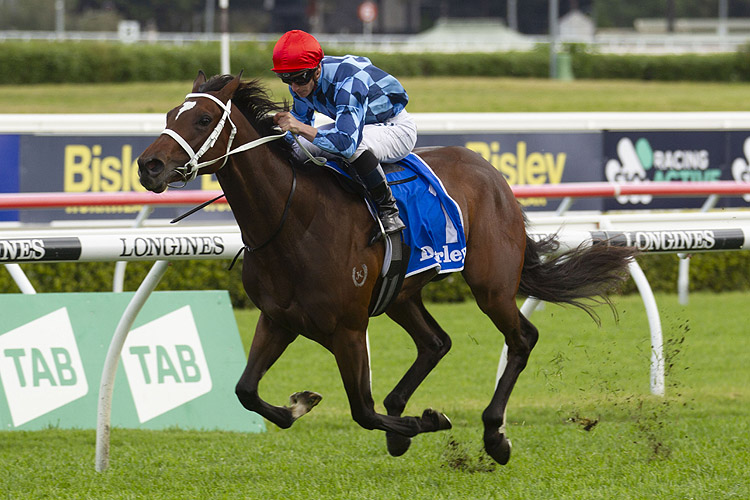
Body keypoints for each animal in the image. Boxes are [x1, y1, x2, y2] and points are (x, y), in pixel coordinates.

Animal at [138, 73, 636, 464]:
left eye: (203, 119)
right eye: (170, 114)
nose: (149, 166)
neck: (293, 220)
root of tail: (491, 171)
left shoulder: (347, 328)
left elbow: (362, 409)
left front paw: (426, 421)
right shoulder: (278, 319)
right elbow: (246, 391)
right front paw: (302, 404)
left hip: (491, 284)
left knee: (522, 339)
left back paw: (494, 435)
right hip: (401, 293)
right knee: (436, 342)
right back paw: (406, 412)